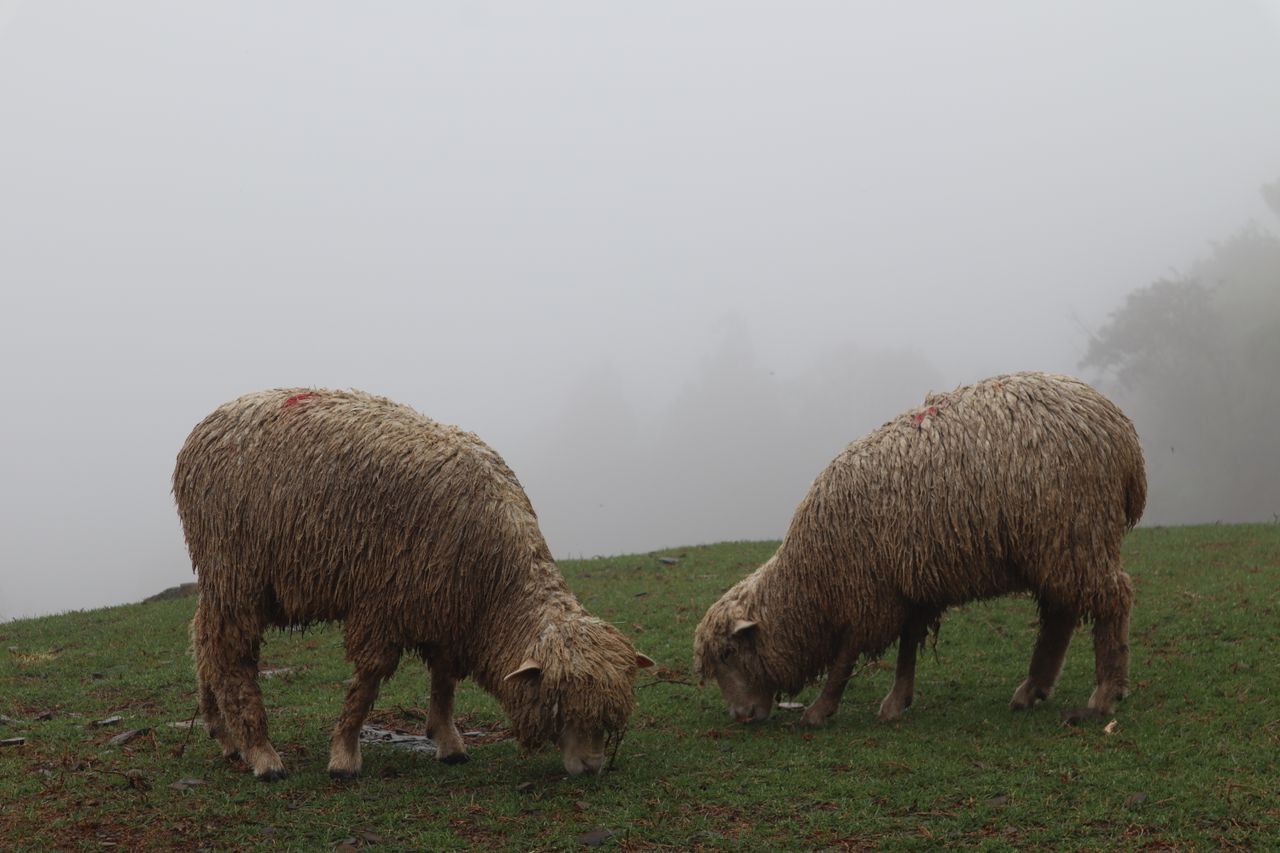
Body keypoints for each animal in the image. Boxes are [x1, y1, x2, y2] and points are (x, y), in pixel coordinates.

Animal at [173, 388, 653, 780]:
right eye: (561, 705)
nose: (591, 768)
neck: (494, 586)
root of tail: (206, 426)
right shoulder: (384, 602)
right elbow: (368, 682)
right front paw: (344, 754)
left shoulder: (443, 605)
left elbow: (443, 679)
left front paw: (448, 741)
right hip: (237, 569)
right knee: (230, 655)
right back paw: (261, 753)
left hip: (234, 578)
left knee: (202, 637)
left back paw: (224, 735)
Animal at [693, 372, 1145, 727]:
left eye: (729, 653)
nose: (741, 716)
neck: (811, 575)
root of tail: (1122, 434)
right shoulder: (908, 583)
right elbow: (908, 643)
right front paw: (897, 701)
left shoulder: (869, 592)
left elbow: (847, 654)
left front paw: (821, 709)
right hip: (1056, 545)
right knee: (1062, 611)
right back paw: (1033, 689)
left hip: (1075, 532)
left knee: (1112, 599)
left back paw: (1104, 695)